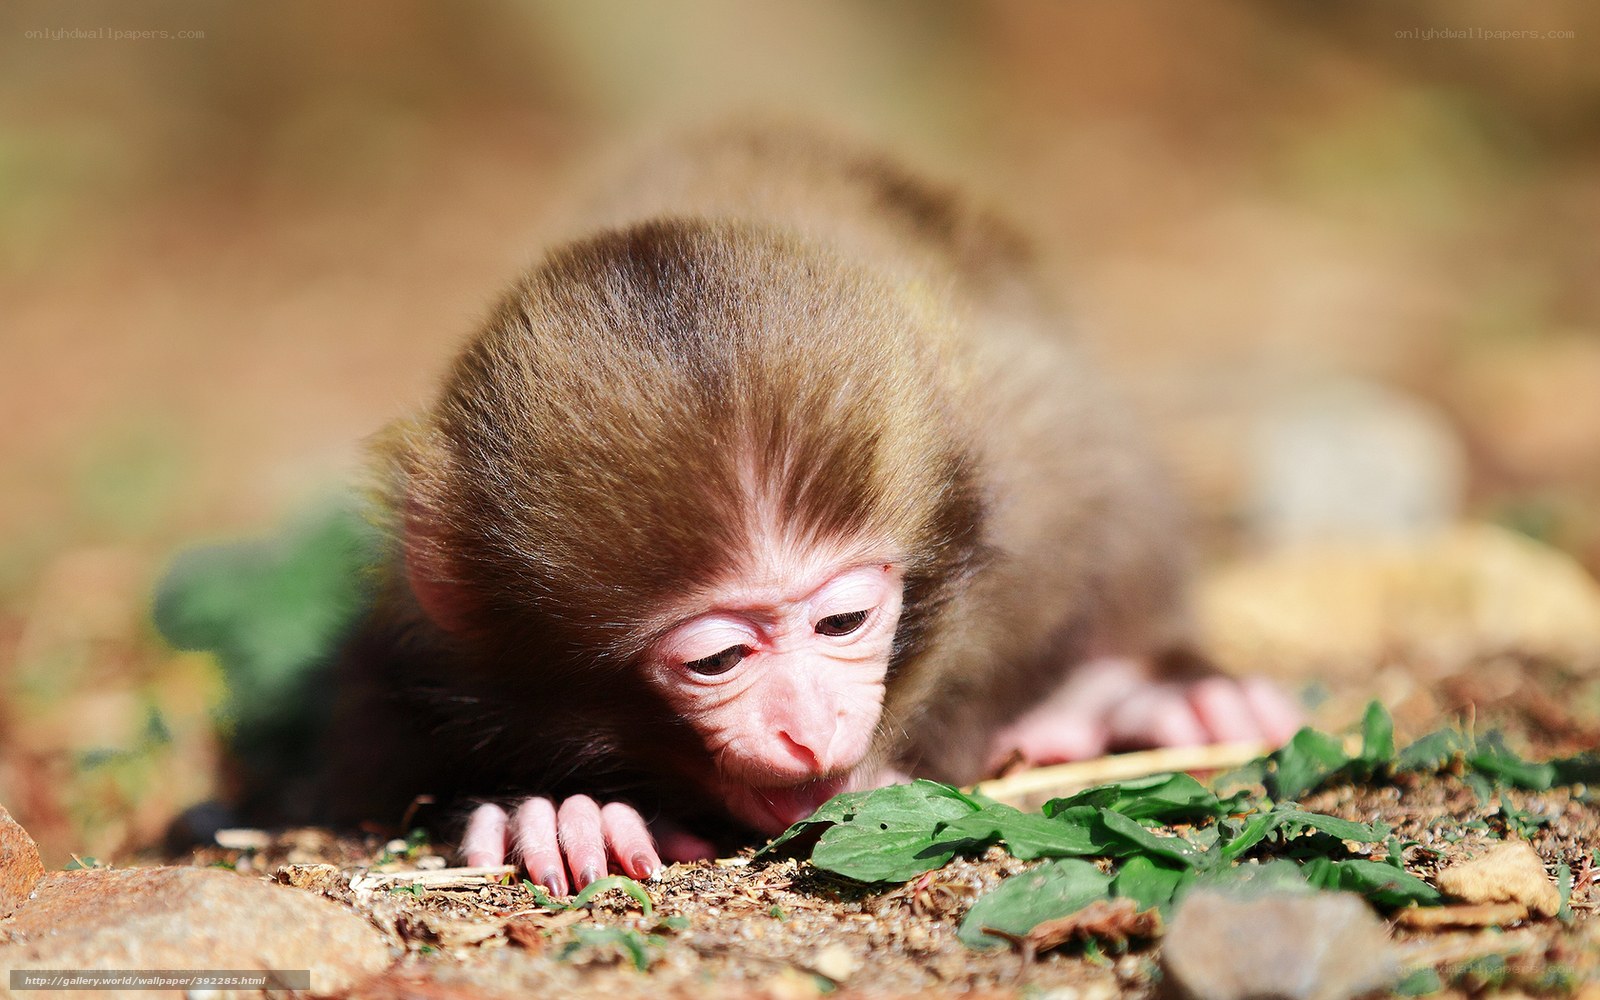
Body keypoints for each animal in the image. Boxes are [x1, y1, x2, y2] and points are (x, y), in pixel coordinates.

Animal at [321, 124, 1300, 895]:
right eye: (717, 660)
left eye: (843, 623)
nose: (809, 729)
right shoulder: (417, 629)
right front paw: (569, 812)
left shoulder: (1038, 463)